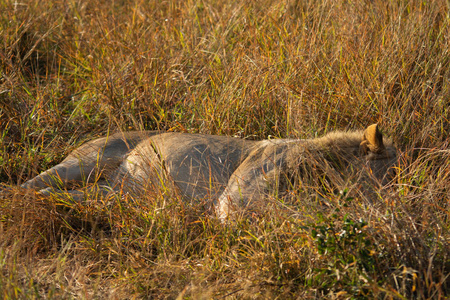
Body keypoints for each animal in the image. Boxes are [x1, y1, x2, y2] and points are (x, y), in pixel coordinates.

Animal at [19, 124, 398, 220]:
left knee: (82, 198)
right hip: (87, 161)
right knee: (29, 184)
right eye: (394, 179)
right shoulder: (235, 196)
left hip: (116, 191)